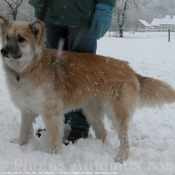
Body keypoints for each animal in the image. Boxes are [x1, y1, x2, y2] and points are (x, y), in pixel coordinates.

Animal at [0, 15, 175, 163]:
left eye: (21, 39)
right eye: (7, 37)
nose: (3, 51)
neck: (28, 68)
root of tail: (128, 68)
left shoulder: (52, 113)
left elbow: (53, 139)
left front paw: (51, 157)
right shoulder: (26, 109)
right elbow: (24, 131)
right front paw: (19, 144)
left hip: (116, 112)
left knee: (124, 138)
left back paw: (121, 157)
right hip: (92, 112)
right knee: (103, 133)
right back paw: (99, 148)